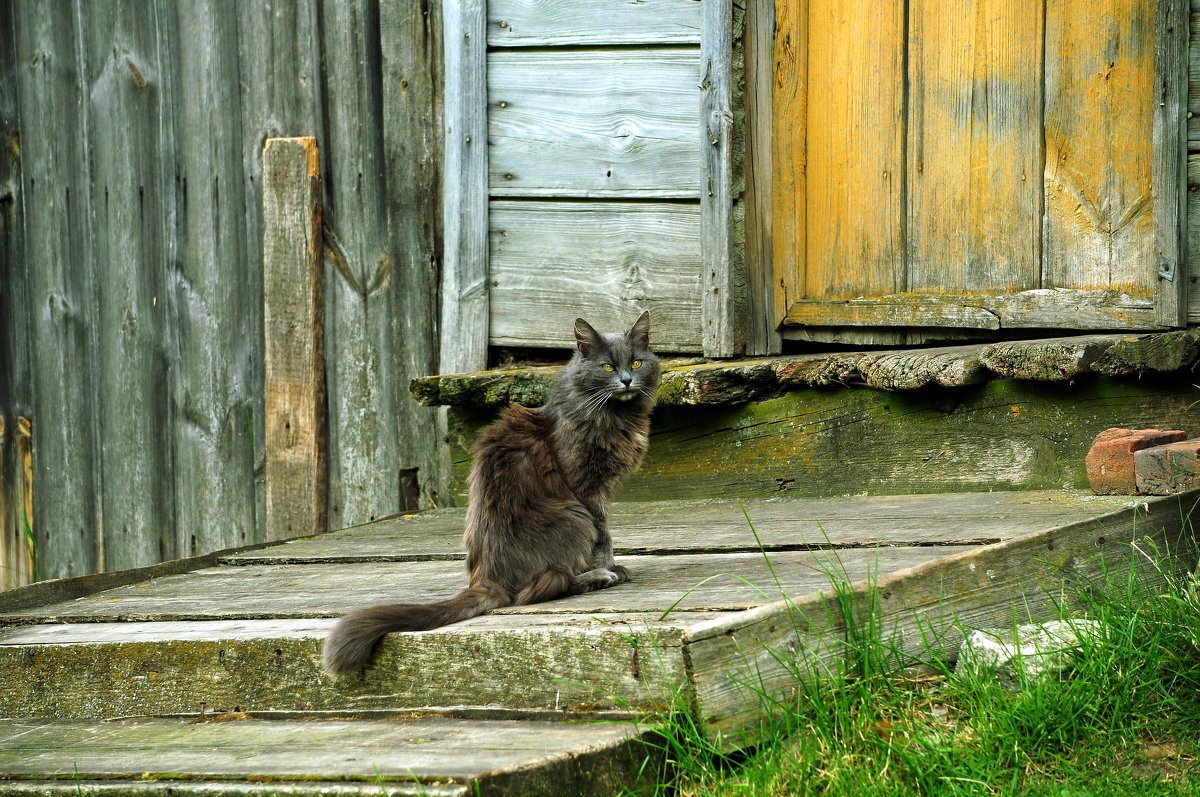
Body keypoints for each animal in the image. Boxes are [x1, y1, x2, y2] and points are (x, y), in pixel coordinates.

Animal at [324, 312, 662, 672]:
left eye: (637, 362)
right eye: (607, 367)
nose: (626, 380)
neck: (612, 413)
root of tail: (488, 576)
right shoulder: (587, 489)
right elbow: (604, 535)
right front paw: (611, 566)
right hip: (573, 515)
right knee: (540, 589)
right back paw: (597, 577)